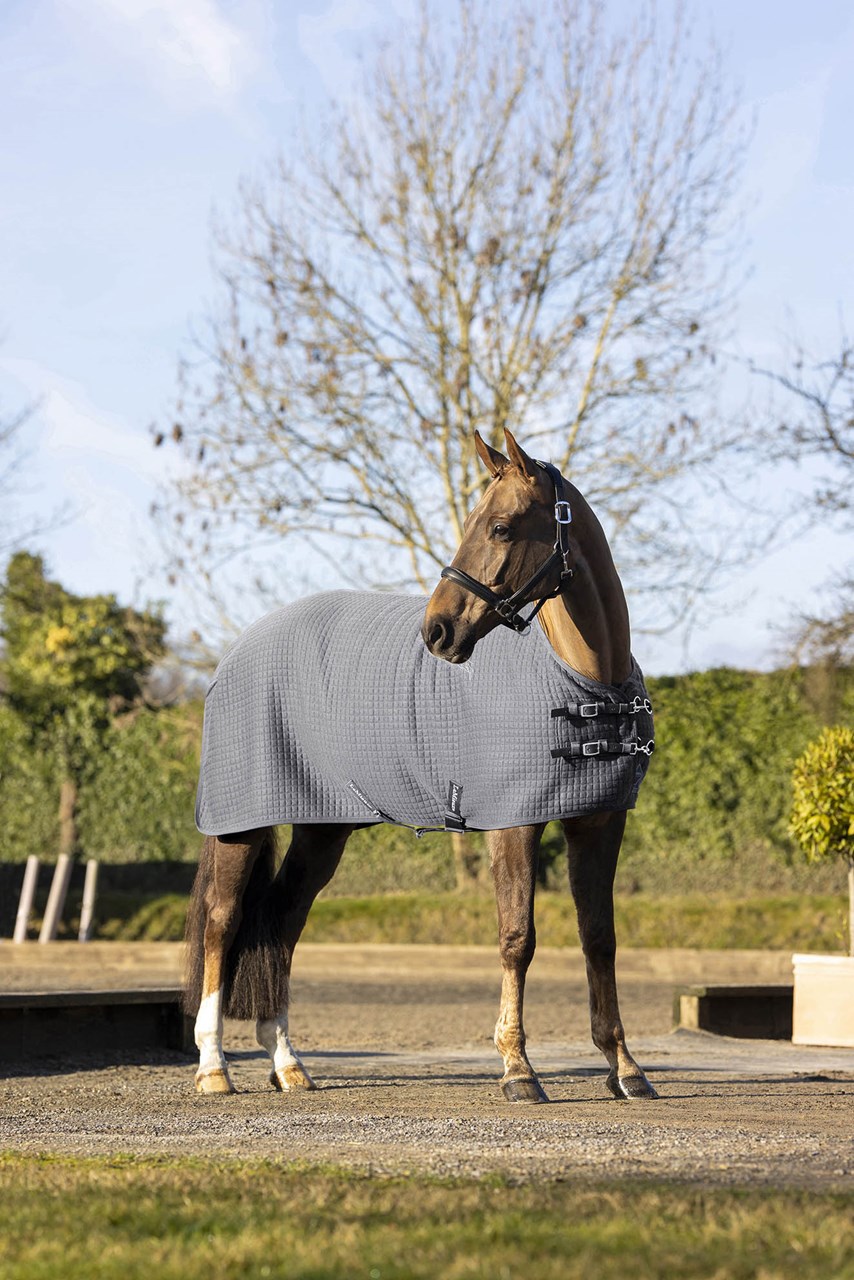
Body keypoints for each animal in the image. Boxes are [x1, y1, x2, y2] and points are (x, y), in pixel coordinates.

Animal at [184, 427, 658, 1104]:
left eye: (502, 528)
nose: (436, 631)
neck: (585, 681)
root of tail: (237, 651)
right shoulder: (512, 824)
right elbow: (517, 938)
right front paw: (518, 1069)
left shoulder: (598, 822)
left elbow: (600, 938)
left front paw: (625, 1068)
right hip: (241, 824)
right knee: (223, 923)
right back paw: (213, 1067)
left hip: (322, 832)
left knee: (281, 921)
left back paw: (288, 1065)